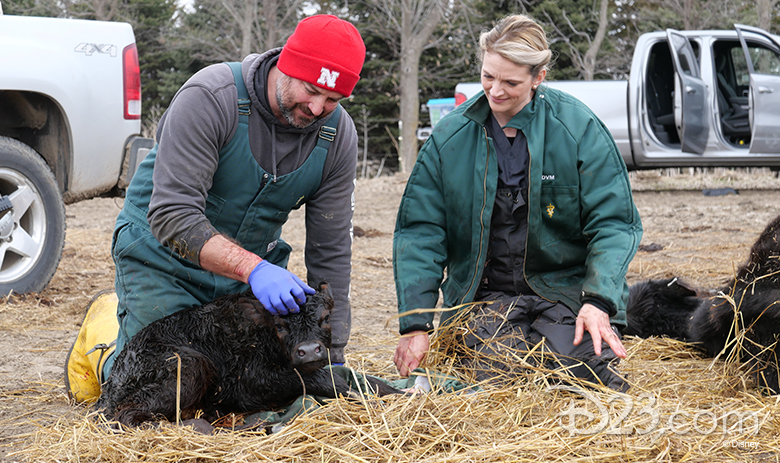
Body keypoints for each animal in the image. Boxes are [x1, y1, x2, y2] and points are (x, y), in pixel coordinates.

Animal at [97, 282, 400, 428]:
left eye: (326, 318)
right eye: (280, 325)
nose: (308, 350)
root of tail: (112, 383)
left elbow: (359, 378)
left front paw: (398, 394)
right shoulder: (248, 384)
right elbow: (326, 380)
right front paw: (363, 400)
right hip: (187, 366)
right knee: (126, 416)